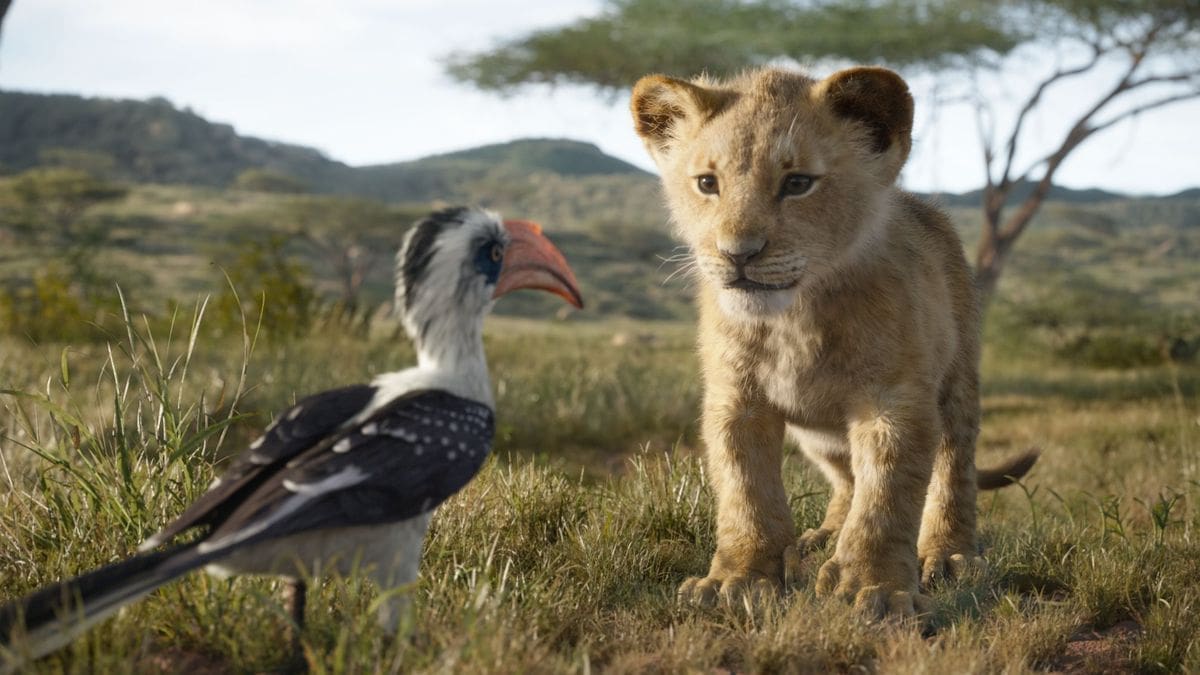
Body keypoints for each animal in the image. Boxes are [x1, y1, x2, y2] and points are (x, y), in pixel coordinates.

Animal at [630, 66, 1037, 618]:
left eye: (798, 183)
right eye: (707, 184)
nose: (738, 254)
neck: (794, 319)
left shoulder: (893, 401)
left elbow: (887, 497)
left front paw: (875, 588)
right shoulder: (736, 400)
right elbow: (745, 491)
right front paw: (737, 579)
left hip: (957, 382)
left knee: (953, 468)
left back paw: (949, 554)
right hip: (819, 435)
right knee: (846, 478)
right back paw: (821, 537)